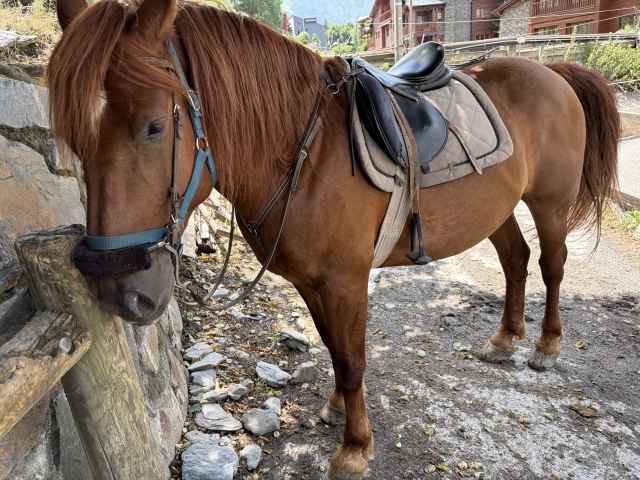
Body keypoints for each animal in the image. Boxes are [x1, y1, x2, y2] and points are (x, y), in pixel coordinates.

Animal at [47, 0, 620, 477]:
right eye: (71, 136)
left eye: (153, 127)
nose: (119, 292)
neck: (305, 153)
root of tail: (553, 72)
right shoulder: (310, 281)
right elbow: (332, 346)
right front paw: (340, 407)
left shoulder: (346, 279)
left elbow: (351, 357)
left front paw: (354, 446)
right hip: (497, 207)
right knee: (516, 259)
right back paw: (505, 338)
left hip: (550, 204)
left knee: (550, 265)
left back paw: (546, 344)